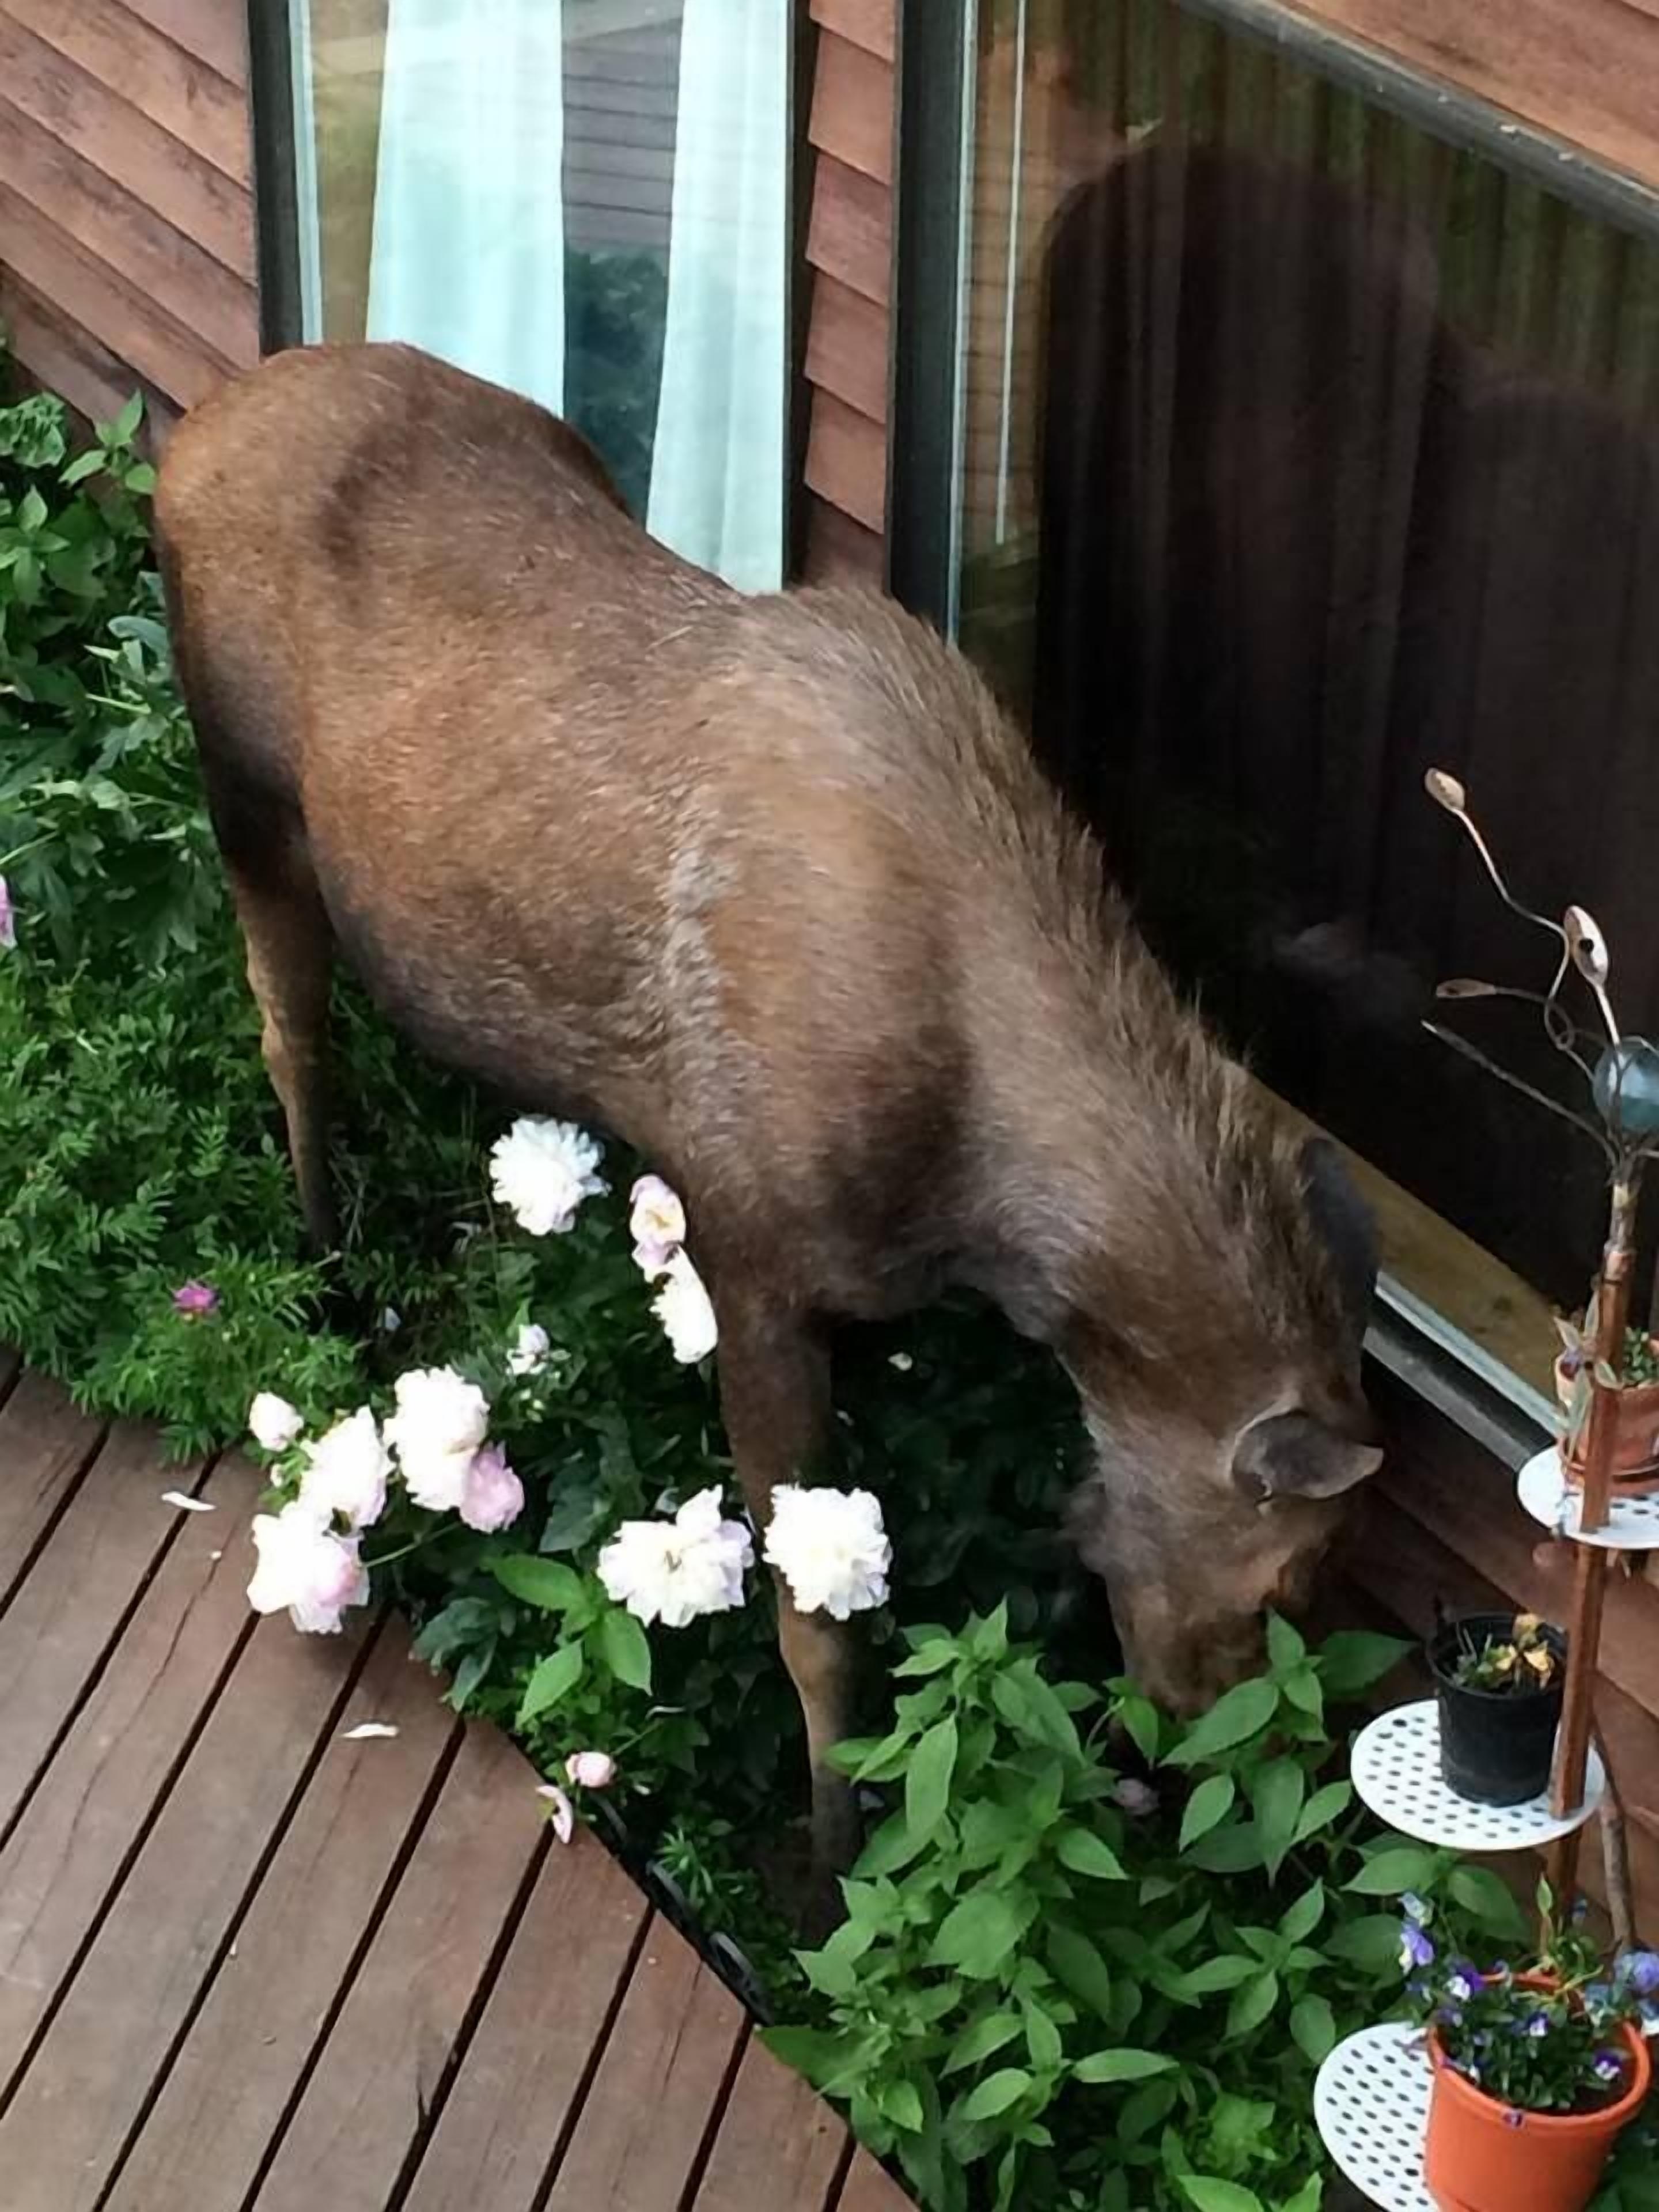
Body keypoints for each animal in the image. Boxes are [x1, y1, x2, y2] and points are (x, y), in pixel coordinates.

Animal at [155, 342, 1383, 1890]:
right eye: (1288, 1575)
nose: (1221, 1788)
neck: (988, 1212)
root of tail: (196, 425)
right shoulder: (753, 1247)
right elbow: (817, 1632)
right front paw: (829, 1864)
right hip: (244, 790)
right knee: (288, 1031)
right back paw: (328, 1272)